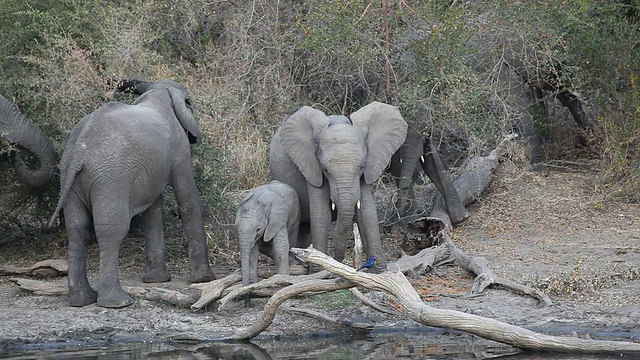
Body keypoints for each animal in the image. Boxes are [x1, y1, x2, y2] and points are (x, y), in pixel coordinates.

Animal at [268, 101, 408, 272]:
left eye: (361, 166)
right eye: (325, 170)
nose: (337, 259)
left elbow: (367, 213)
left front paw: (380, 272)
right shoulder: (311, 167)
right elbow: (321, 214)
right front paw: (319, 271)